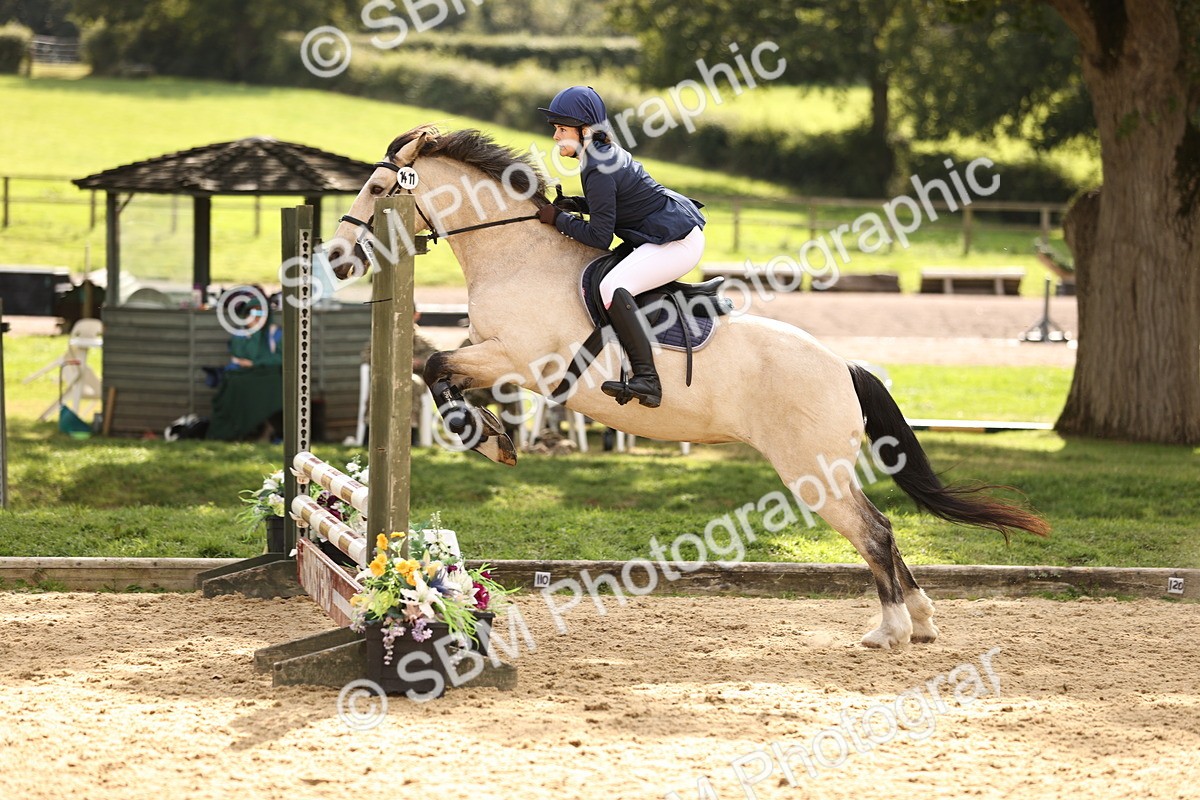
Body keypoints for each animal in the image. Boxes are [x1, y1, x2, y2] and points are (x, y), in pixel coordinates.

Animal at [326, 125, 1049, 649]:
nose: (335, 258)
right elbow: (441, 372)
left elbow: (436, 370)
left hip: (811, 470)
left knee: (874, 532)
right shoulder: (495, 357)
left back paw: (891, 630)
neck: (516, 256)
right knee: (885, 531)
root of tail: (844, 366)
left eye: (377, 185)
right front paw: (492, 435)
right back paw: (921, 621)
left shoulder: (517, 359)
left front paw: (481, 436)